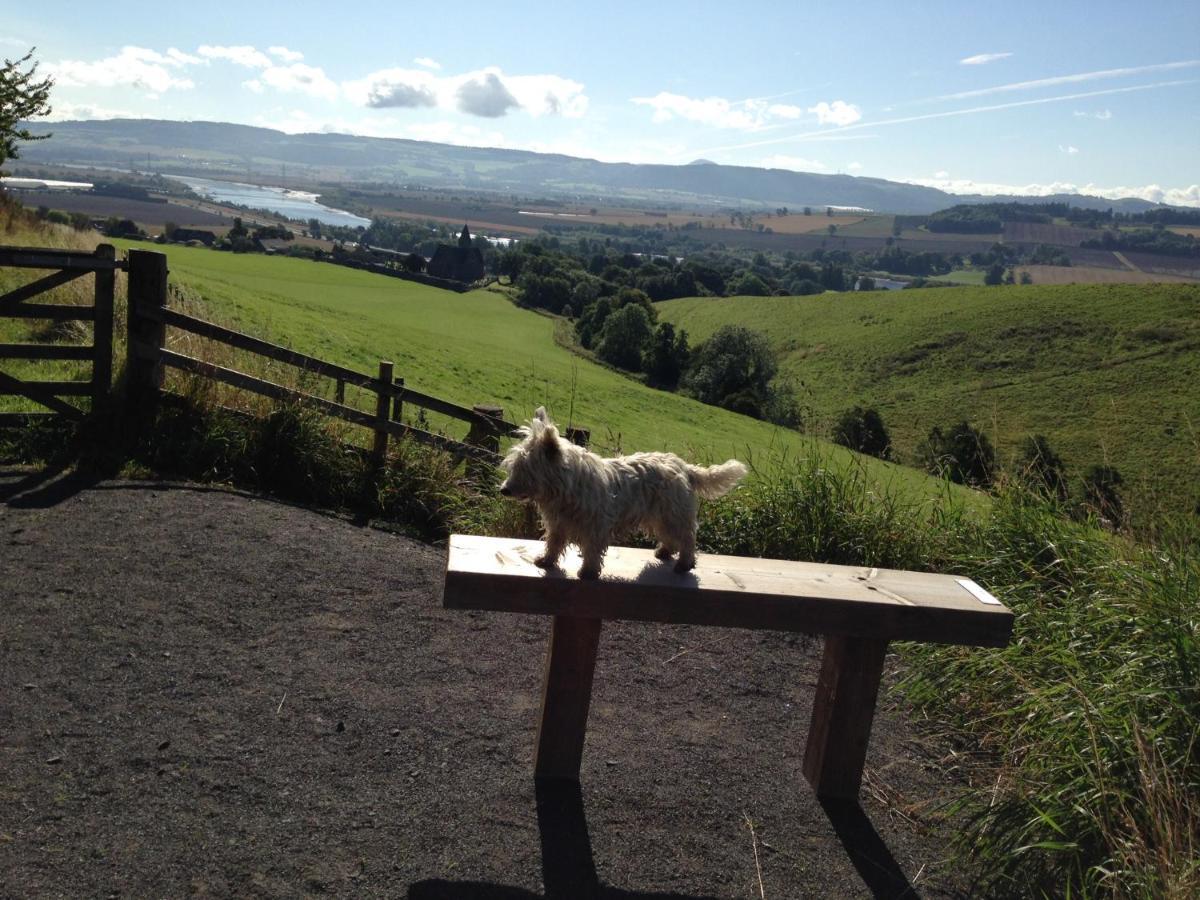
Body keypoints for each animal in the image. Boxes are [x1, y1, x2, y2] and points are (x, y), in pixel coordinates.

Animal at [494, 408, 739, 578]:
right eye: (513, 466)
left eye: (525, 468)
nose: (504, 490)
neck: (565, 488)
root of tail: (683, 466)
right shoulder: (558, 523)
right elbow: (554, 542)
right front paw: (547, 560)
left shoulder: (596, 525)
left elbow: (592, 549)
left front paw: (588, 572)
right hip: (659, 516)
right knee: (671, 537)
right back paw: (664, 552)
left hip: (673, 514)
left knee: (687, 538)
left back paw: (684, 564)